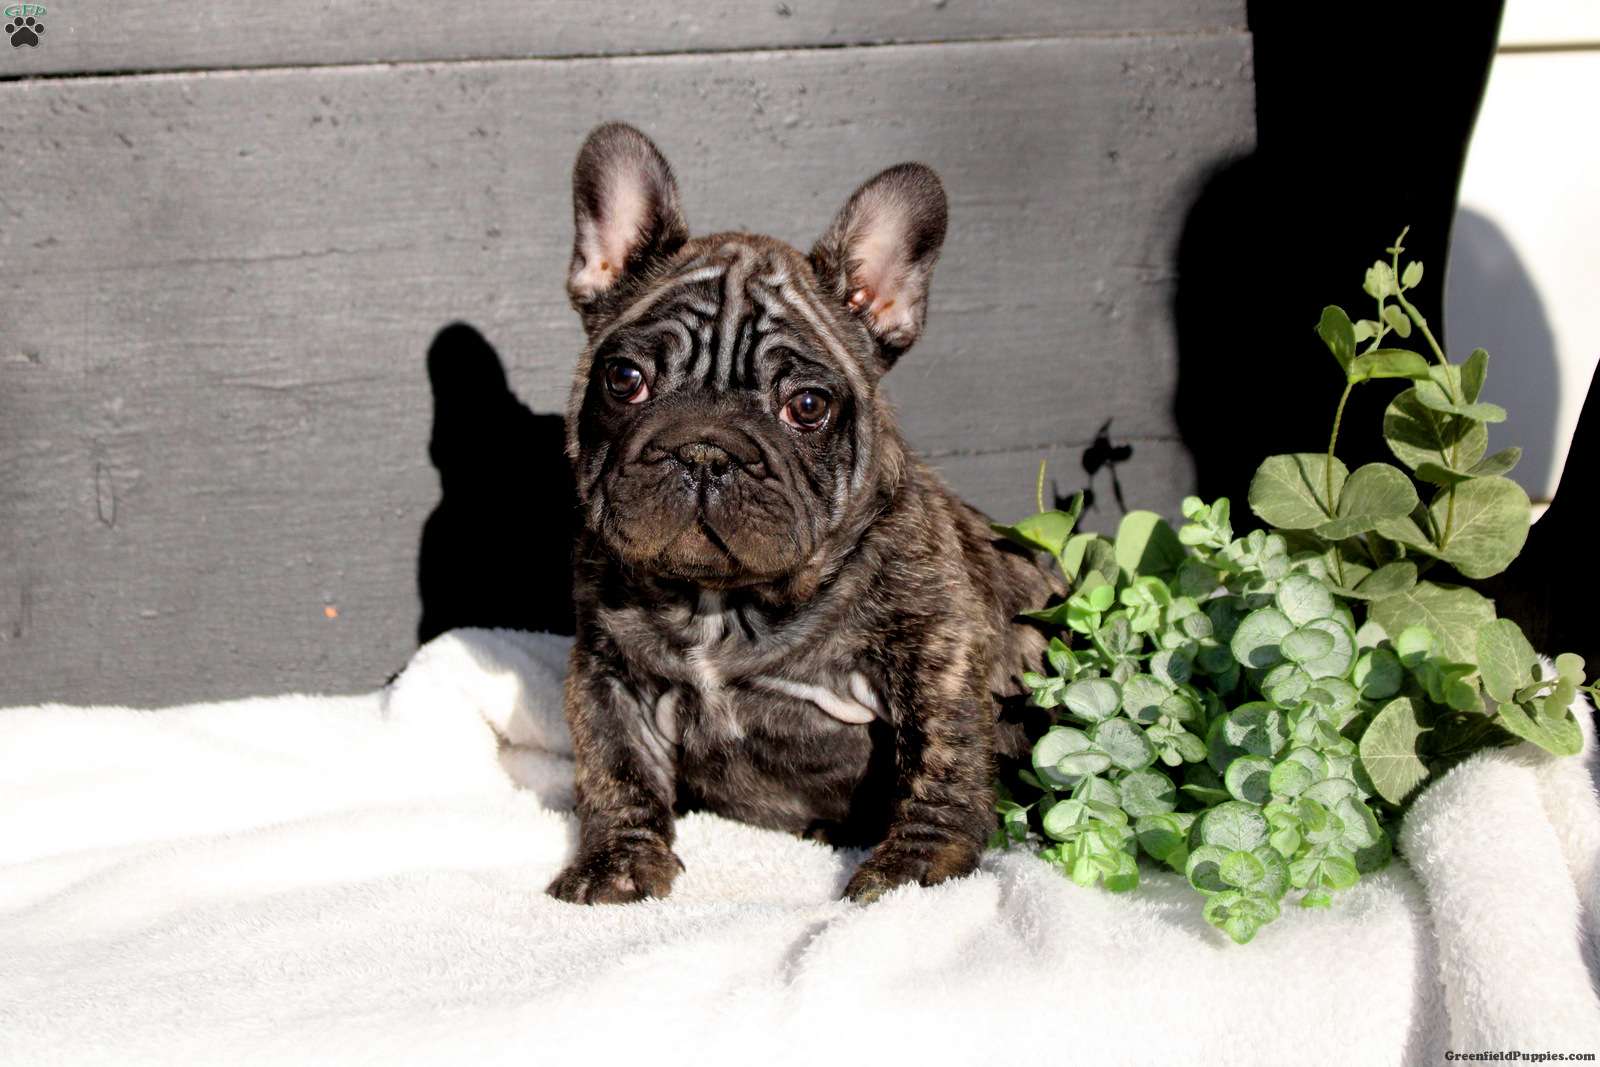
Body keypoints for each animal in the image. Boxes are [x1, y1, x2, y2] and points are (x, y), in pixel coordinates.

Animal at [546, 123, 1058, 905]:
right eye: (624, 379)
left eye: (808, 406)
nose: (704, 449)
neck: (723, 605)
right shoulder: (606, 674)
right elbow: (615, 765)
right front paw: (617, 862)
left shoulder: (935, 649)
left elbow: (941, 755)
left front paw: (915, 867)